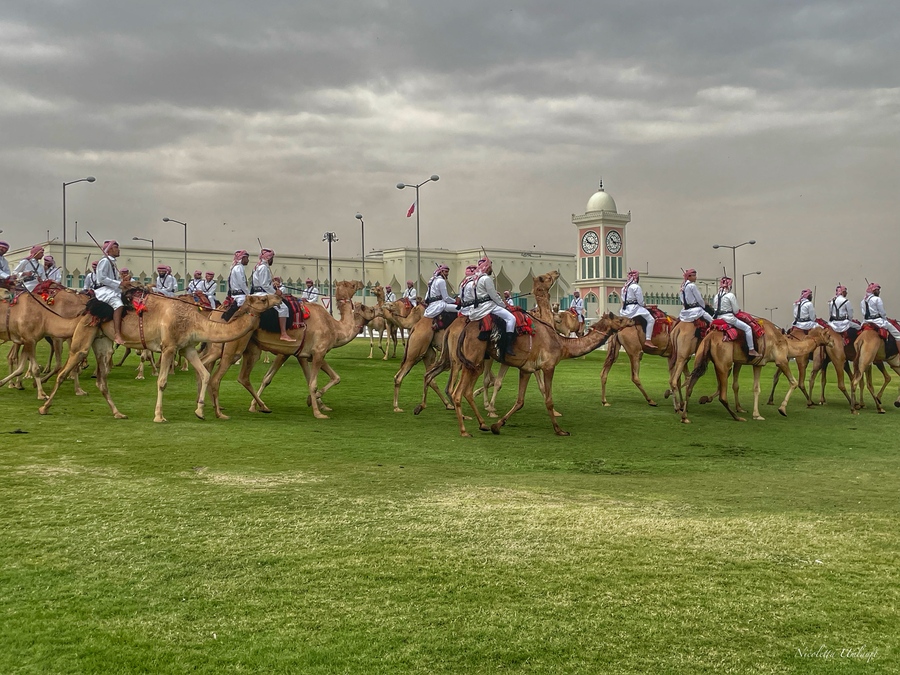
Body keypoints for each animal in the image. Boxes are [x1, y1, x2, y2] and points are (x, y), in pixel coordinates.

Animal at [37, 292, 282, 422]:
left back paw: (118, 413)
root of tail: (85, 312)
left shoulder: (187, 347)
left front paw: (200, 411)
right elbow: (163, 381)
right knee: (65, 370)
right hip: (83, 338)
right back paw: (44, 407)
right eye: (262, 299)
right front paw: (159, 416)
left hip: (102, 342)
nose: (279, 297)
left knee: (102, 379)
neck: (195, 321)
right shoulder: (169, 347)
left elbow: (204, 374)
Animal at [204, 278, 376, 418]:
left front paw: (316, 402)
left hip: (239, 347)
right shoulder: (318, 351)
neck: (334, 327)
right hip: (234, 346)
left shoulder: (304, 354)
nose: (361, 283)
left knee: (219, 368)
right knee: (222, 373)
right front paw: (318, 412)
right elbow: (313, 383)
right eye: (352, 285)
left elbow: (327, 378)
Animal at [450, 312, 632, 438]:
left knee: (466, 391)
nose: (631, 320)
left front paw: (497, 426)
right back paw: (464, 431)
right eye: (619, 319)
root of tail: (465, 330)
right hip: (473, 357)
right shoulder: (548, 366)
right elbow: (549, 400)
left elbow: (520, 401)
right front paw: (560, 430)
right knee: (458, 392)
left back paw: (483, 424)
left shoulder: (526, 369)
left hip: (475, 362)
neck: (562, 345)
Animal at [684, 322, 832, 422]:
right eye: (829, 335)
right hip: (723, 361)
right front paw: (782, 409)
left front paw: (757, 414)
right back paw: (737, 417)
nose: (832, 344)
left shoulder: (758, 364)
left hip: (702, 356)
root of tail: (709, 338)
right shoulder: (781, 360)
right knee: (722, 394)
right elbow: (794, 382)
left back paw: (685, 415)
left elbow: (756, 389)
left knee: (690, 385)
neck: (786, 343)